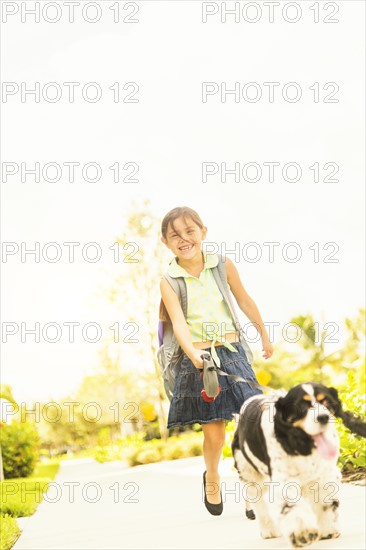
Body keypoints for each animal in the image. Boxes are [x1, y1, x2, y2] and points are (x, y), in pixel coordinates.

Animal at [232, 386, 366, 548]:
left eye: (327, 402)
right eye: (302, 406)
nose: (323, 417)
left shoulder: (325, 474)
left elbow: (325, 501)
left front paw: (327, 530)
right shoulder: (284, 480)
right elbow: (293, 507)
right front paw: (303, 533)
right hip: (249, 474)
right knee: (258, 502)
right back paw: (269, 530)